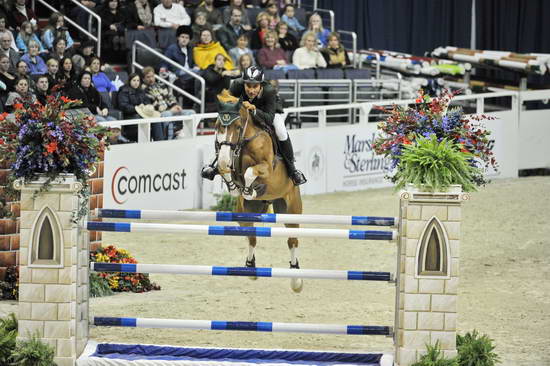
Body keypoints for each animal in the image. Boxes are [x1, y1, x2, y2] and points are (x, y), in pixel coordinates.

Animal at [215, 90, 304, 294]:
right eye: (217, 126)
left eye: (237, 126)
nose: (223, 158)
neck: (245, 141)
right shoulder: (229, 163)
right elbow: (226, 171)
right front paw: (236, 188)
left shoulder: (266, 168)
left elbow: (251, 171)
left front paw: (250, 189)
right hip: (244, 213)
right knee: (252, 237)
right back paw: (250, 267)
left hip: (291, 211)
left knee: (292, 240)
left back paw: (296, 279)